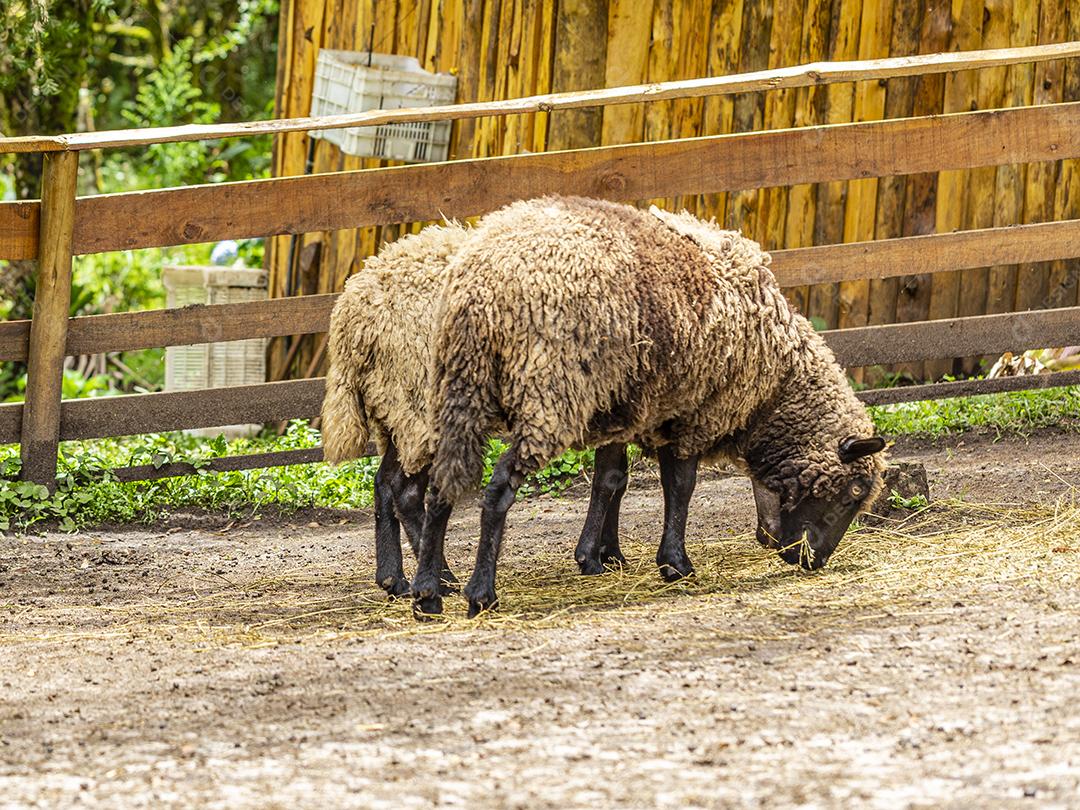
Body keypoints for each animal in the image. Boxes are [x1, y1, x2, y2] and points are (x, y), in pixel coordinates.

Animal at [412, 199, 885, 617]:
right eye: (854, 492)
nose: (814, 561)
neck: (772, 388)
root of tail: (480, 288)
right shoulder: (695, 410)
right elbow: (680, 486)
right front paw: (675, 563)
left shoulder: (622, 410)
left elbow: (610, 481)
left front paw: (598, 556)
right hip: (548, 396)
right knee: (497, 491)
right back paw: (480, 594)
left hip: (458, 390)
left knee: (440, 488)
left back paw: (428, 595)